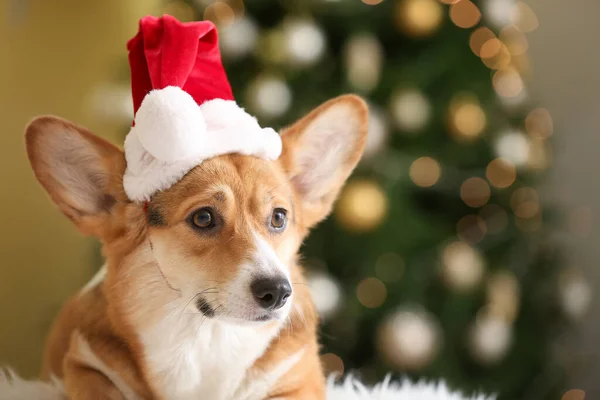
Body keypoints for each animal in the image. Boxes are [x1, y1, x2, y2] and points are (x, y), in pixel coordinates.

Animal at [23, 94, 368, 400]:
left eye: (279, 217)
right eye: (203, 218)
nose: (278, 292)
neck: (203, 335)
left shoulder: (298, 378)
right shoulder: (85, 365)